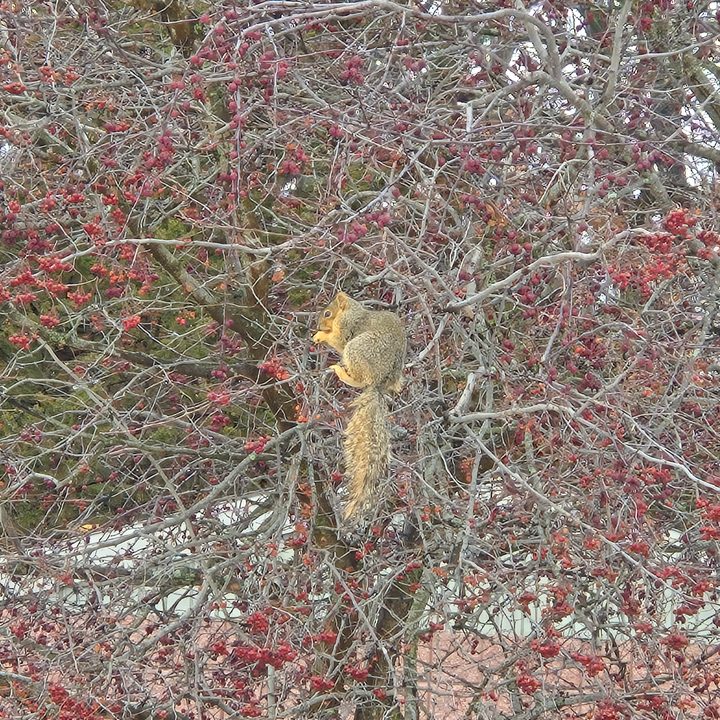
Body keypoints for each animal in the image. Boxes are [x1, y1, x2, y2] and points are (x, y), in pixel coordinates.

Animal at [312, 291, 406, 519]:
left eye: (328, 313)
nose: (317, 325)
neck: (352, 311)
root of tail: (381, 383)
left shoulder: (347, 329)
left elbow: (337, 340)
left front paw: (321, 337)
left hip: (358, 348)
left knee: (361, 379)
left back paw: (342, 372)